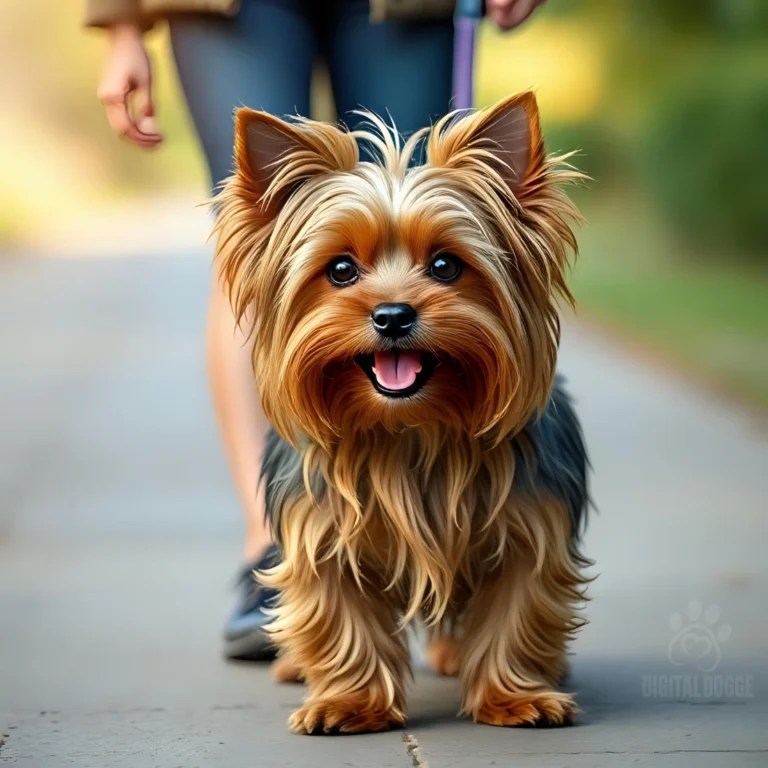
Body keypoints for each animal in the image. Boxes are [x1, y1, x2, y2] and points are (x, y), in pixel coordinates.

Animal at [213, 93, 592, 736]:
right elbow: (340, 618)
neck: (411, 429)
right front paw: (348, 703)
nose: (392, 316)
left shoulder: (531, 526)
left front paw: (515, 696)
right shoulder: (322, 534)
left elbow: (518, 610)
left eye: (446, 266)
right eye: (340, 270)